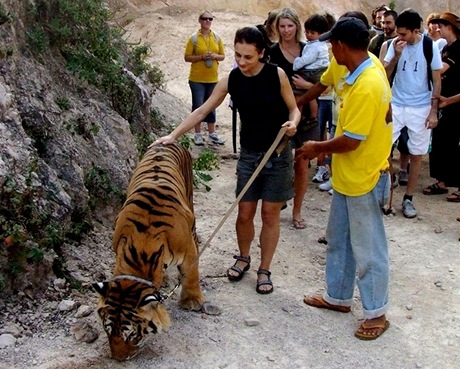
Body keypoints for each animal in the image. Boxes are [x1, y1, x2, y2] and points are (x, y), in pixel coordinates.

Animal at [93, 142, 205, 360]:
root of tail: (168, 141)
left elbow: (190, 275)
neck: (141, 252)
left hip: (191, 205)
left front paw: (192, 300)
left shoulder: (188, 252)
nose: (119, 359)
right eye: (107, 330)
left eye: (131, 334)